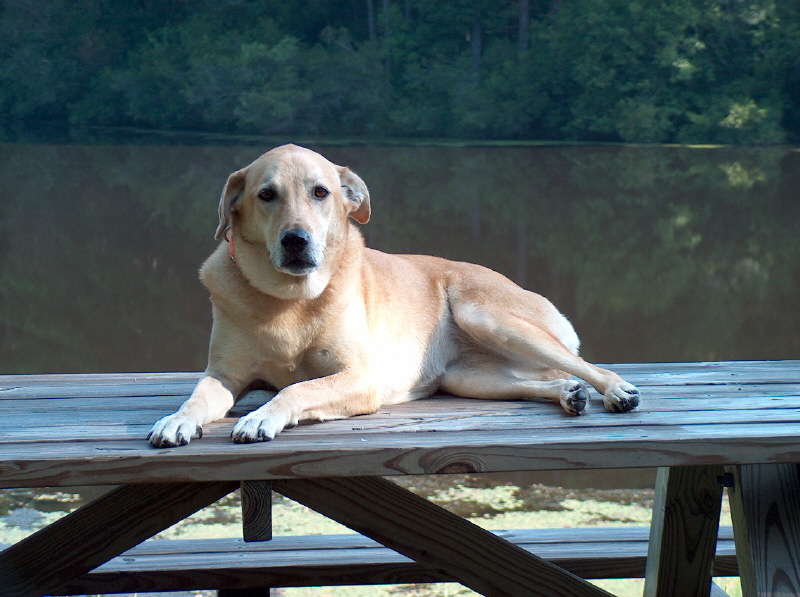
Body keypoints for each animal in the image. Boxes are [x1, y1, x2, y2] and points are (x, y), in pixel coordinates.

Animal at [148, 144, 640, 447]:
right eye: (266, 194)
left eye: (321, 192)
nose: (295, 240)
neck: (288, 300)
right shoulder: (224, 375)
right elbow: (197, 396)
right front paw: (176, 419)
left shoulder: (361, 378)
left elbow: (297, 388)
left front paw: (260, 416)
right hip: (469, 378)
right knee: (542, 380)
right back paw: (568, 394)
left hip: (485, 315)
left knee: (588, 365)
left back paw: (616, 390)